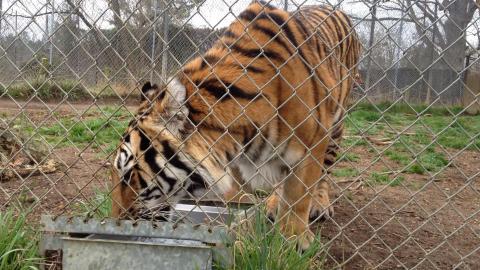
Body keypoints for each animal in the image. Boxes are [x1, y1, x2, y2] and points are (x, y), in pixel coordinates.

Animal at [111, 0, 360, 250]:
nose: (115, 221)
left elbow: (298, 198)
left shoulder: (311, 146)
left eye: (129, 175)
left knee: (324, 172)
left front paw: (294, 240)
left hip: (336, 127)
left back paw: (319, 204)